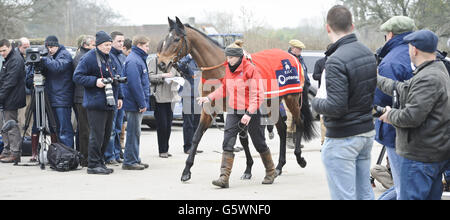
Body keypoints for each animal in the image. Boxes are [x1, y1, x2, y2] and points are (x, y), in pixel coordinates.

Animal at [157, 17, 316, 182]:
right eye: (165, 40)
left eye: (176, 39)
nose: (161, 63)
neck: (223, 70)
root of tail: (292, 58)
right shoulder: (209, 110)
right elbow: (198, 136)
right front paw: (186, 171)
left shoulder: (237, 109)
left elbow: (241, 138)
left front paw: (248, 168)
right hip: (272, 104)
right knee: (282, 129)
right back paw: (278, 167)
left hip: (291, 99)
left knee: (299, 122)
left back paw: (299, 158)